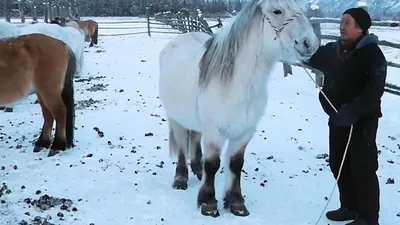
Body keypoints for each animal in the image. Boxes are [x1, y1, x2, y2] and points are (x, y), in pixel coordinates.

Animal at [159, 0, 318, 218]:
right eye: (277, 11)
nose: (310, 43)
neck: (237, 83)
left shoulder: (245, 132)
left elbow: (235, 164)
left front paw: (236, 203)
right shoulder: (215, 132)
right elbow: (213, 164)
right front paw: (208, 203)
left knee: (195, 141)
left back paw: (197, 170)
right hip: (175, 118)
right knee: (182, 145)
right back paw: (181, 178)